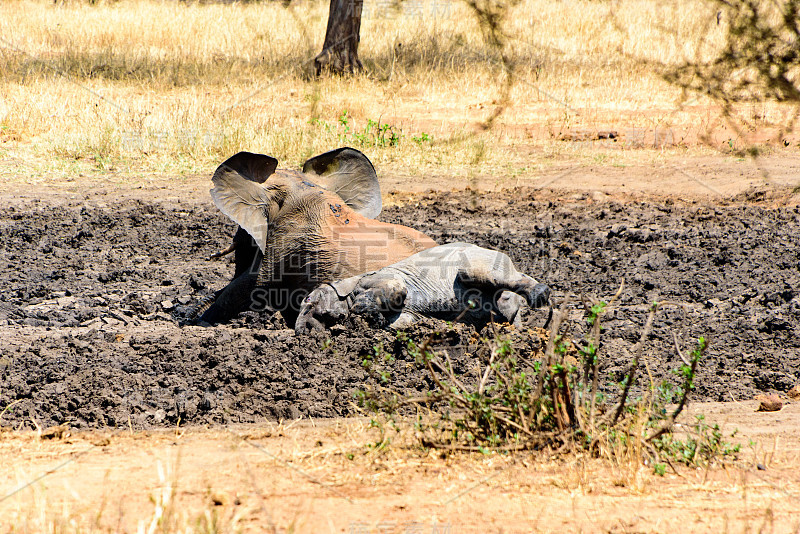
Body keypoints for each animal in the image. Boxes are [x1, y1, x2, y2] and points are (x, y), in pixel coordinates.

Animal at [294, 244, 552, 336]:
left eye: (308, 300)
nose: (300, 332)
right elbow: (401, 321)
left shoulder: (382, 277)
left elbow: (395, 288)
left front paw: (366, 313)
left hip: (480, 262)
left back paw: (541, 295)